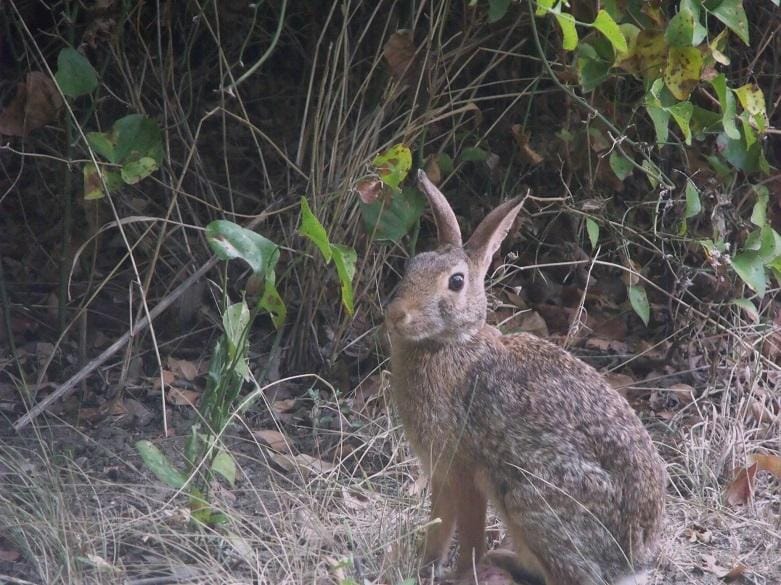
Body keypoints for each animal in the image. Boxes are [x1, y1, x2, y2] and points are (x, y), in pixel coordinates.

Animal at [384, 170, 664, 584]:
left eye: (455, 282)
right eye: (412, 265)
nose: (395, 314)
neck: (451, 344)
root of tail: (632, 562)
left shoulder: (464, 470)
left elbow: (467, 532)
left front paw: (459, 576)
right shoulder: (441, 472)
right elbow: (439, 525)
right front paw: (425, 568)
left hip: (530, 499)